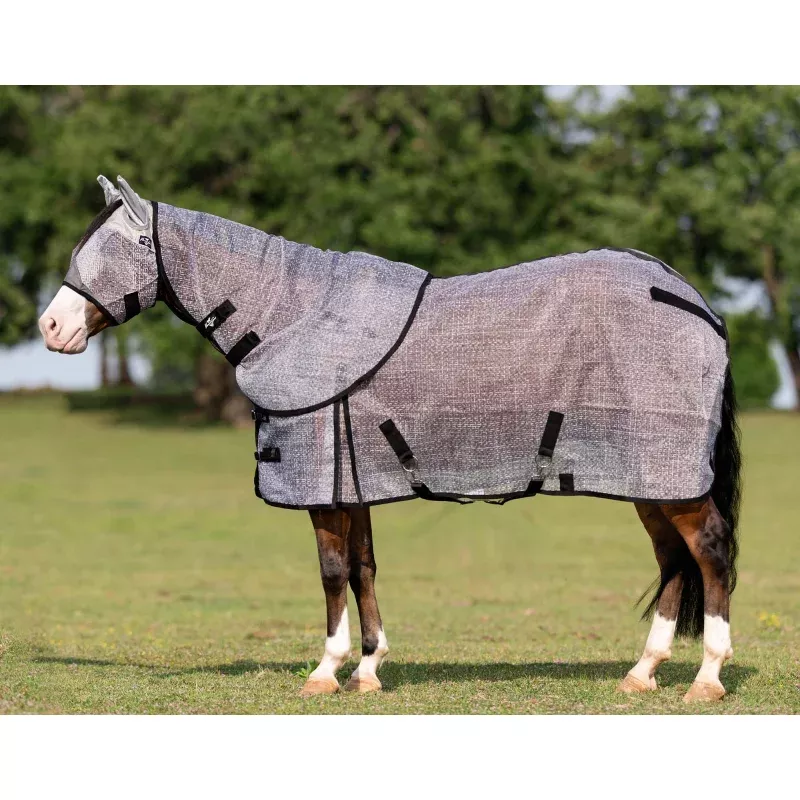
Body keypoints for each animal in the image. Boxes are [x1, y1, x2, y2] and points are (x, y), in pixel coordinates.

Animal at [39, 175, 741, 702]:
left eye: (125, 245)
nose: (51, 327)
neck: (293, 314)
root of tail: (694, 301)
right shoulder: (352, 480)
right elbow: (364, 568)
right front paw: (370, 668)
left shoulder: (323, 484)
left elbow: (331, 572)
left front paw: (326, 671)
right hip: (647, 479)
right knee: (672, 559)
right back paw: (642, 673)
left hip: (668, 477)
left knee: (707, 549)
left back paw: (706, 677)